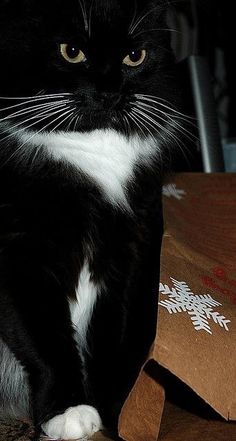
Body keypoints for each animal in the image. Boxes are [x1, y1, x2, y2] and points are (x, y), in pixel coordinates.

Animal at [0, 0, 184, 438]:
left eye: (135, 56)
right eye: (72, 52)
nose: (110, 92)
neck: (90, 145)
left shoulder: (128, 247)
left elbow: (111, 327)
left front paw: (113, 408)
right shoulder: (20, 249)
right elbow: (42, 333)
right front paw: (68, 410)